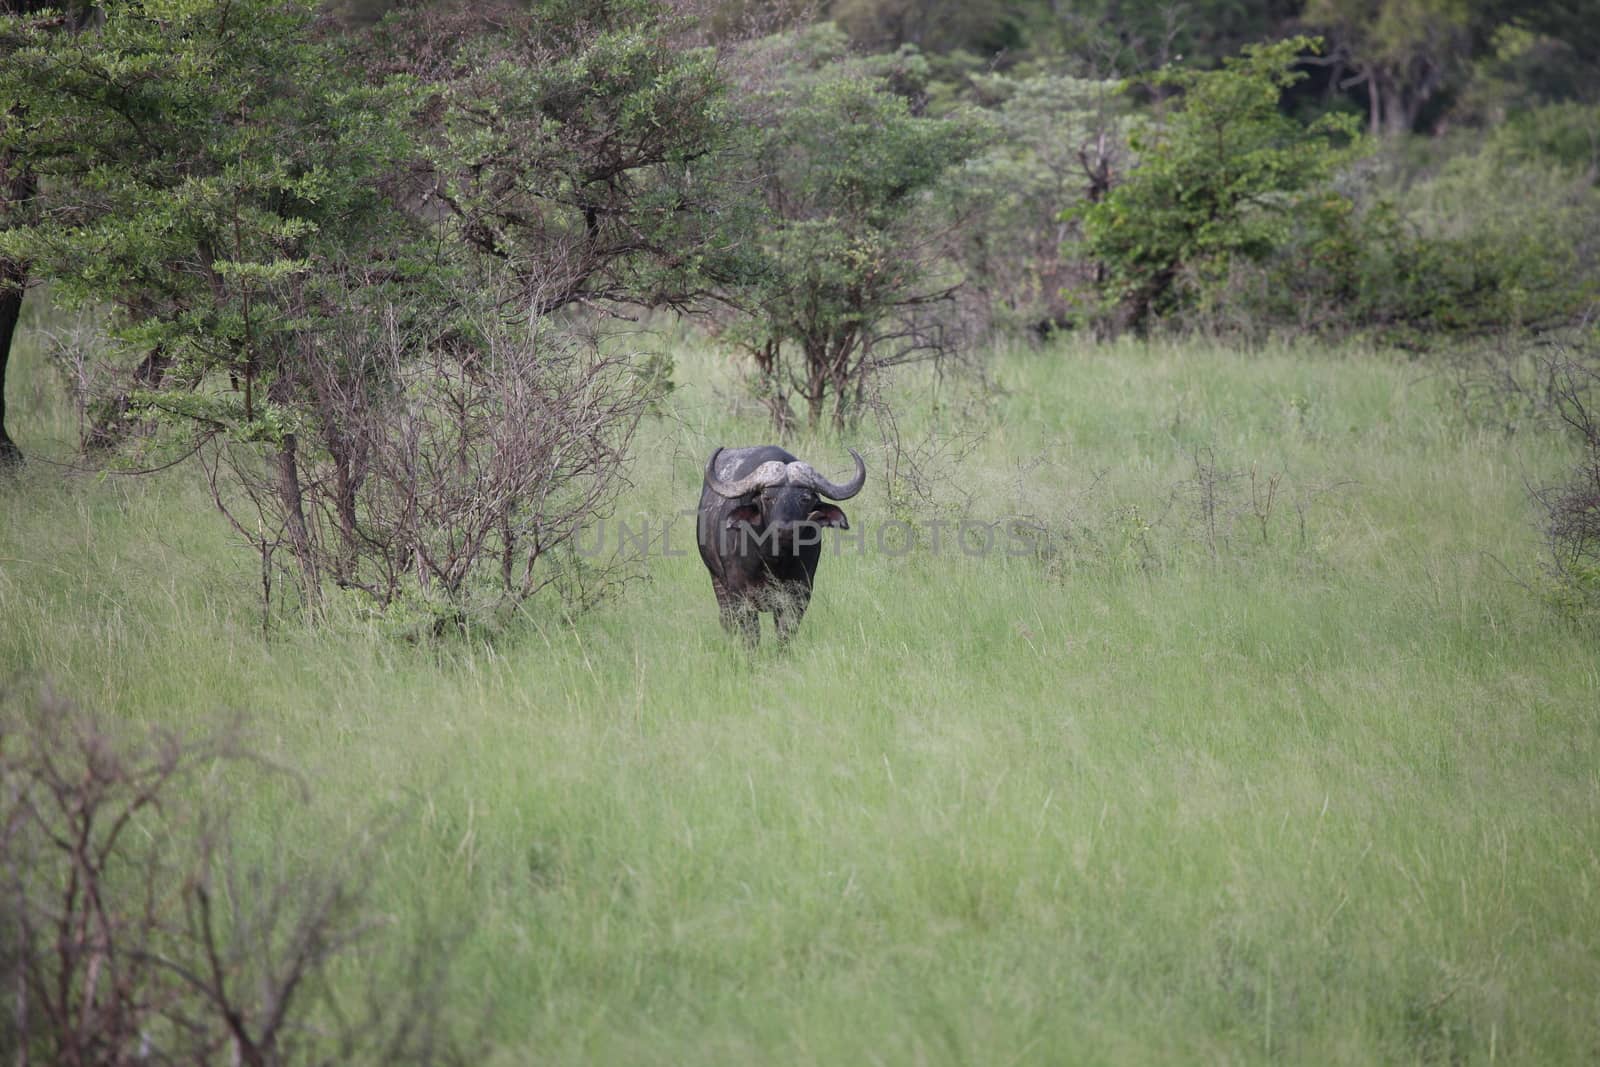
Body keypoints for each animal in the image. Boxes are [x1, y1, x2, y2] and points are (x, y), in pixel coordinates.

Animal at [697, 447, 870, 646]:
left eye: (805, 498)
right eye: (768, 497)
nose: (786, 529)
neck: (773, 558)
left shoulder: (799, 594)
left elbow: (785, 633)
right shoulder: (740, 594)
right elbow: (751, 635)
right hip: (717, 581)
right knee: (727, 620)